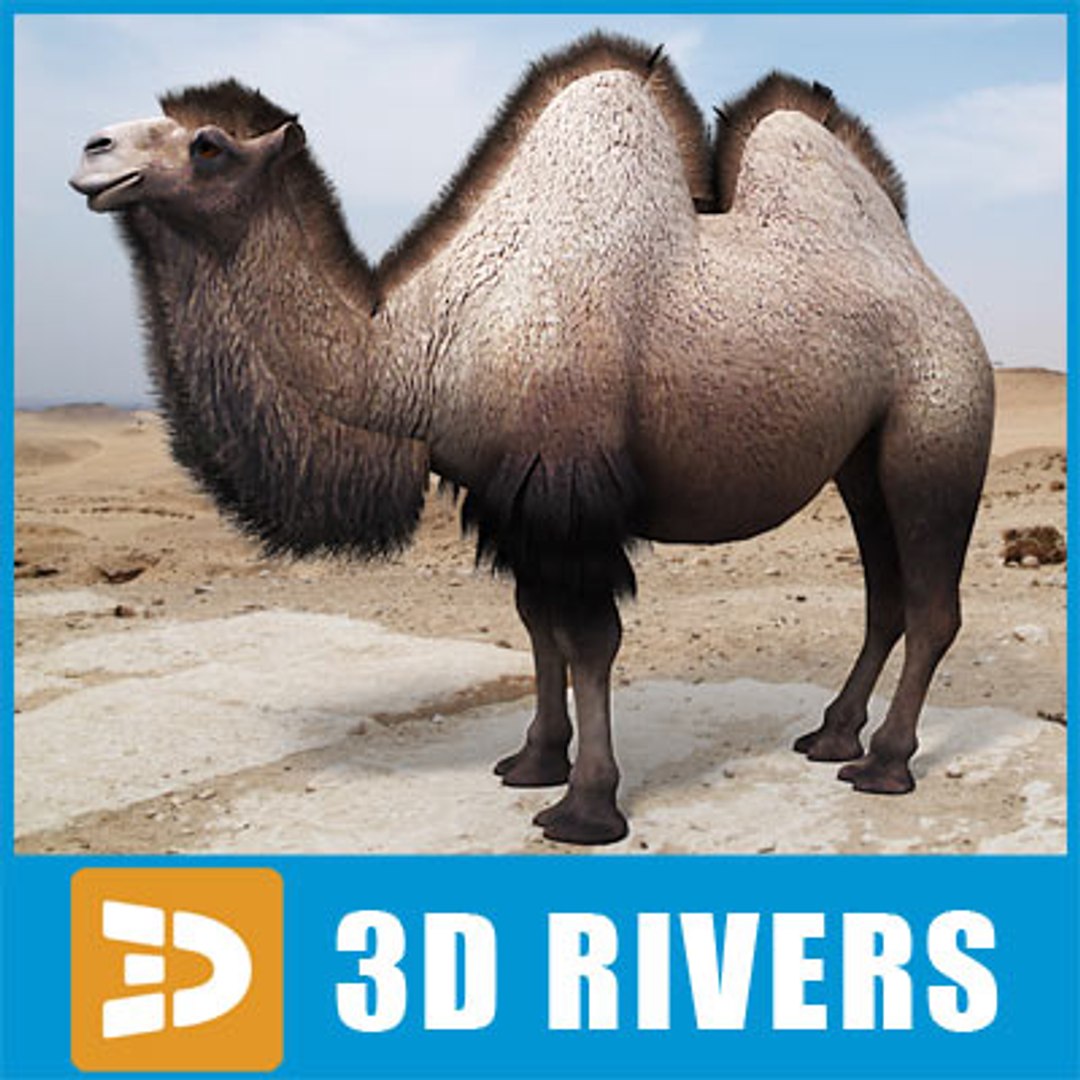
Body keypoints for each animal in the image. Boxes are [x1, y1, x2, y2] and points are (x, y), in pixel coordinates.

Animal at [70, 33, 994, 845]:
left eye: (209, 145)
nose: (91, 148)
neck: (426, 353)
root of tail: (943, 297)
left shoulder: (568, 484)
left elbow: (590, 640)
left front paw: (585, 809)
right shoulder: (512, 495)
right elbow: (536, 624)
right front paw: (532, 762)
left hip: (938, 428)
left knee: (931, 605)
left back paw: (885, 764)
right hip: (860, 461)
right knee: (883, 597)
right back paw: (832, 736)